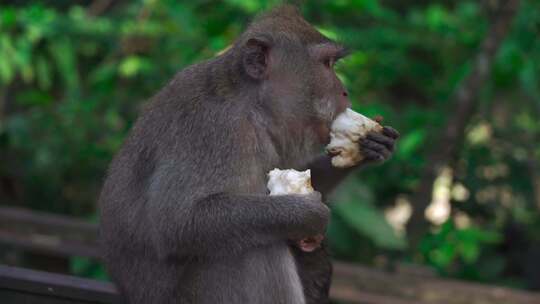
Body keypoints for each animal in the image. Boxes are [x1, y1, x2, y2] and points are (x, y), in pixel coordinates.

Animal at [99, 5, 398, 304]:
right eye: (326, 64)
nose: (344, 92)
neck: (251, 106)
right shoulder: (215, 129)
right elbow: (177, 221)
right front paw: (309, 212)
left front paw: (370, 145)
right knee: (254, 248)